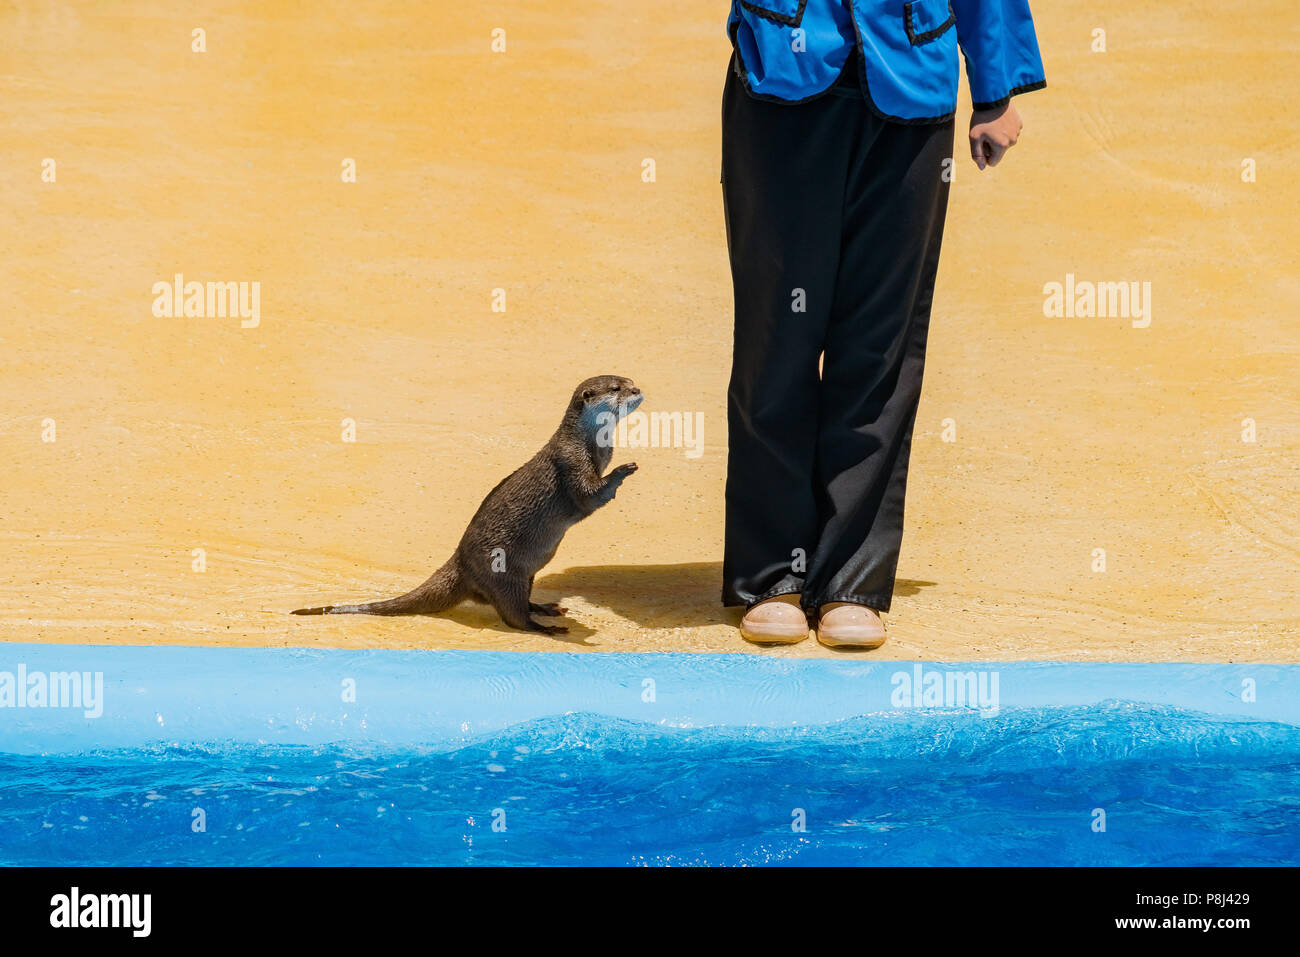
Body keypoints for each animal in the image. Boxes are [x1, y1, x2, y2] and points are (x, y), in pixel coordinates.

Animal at [291, 375, 642, 634]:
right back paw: (545, 627)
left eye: (629, 380)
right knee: (513, 616)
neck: (590, 445)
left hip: (525, 572)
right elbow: (589, 496)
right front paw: (623, 471)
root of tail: (459, 561)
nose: (637, 390)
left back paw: (545, 607)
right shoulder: (570, 462)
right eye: (616, 388)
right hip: (503, 571)